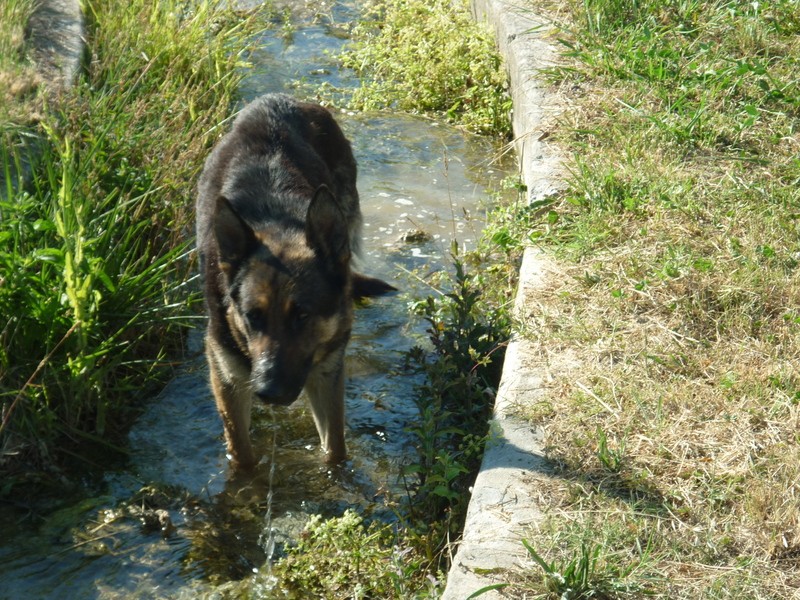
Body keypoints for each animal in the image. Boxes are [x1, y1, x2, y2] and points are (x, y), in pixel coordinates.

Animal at [195, 92, 392, 468]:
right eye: (252, 316)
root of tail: (277, 99)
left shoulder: (327, 372)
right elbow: (242, 456)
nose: (268, 392)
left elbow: (335, 449)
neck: (278, 226)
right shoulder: (227, 377)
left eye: (302, 315)